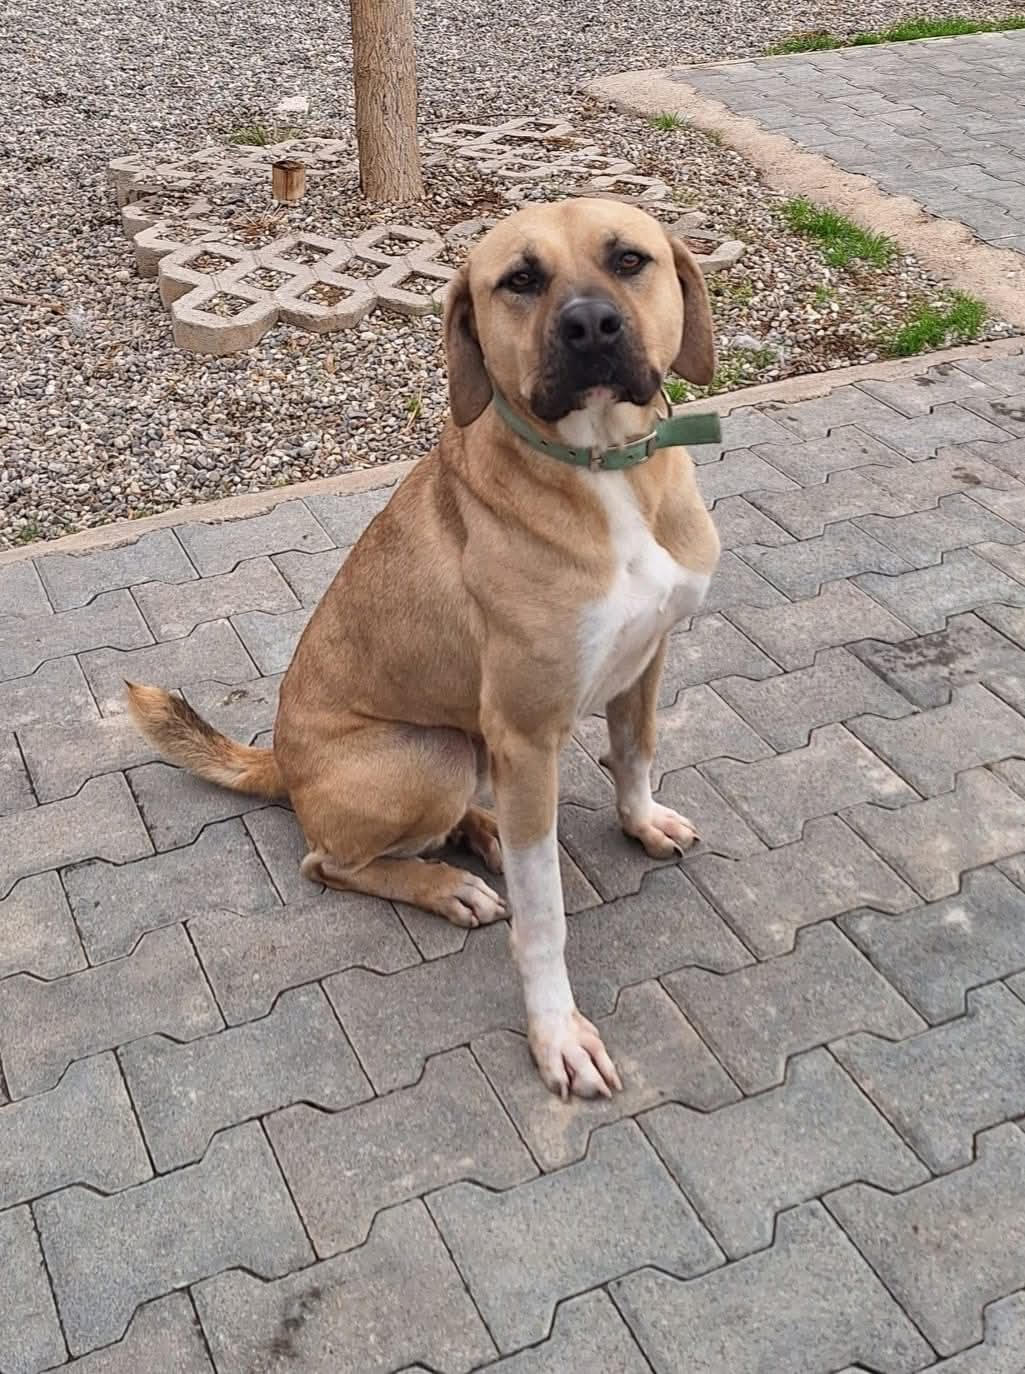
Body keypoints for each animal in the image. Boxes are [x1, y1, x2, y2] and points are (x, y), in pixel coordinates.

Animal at [127, 197, 720, 1100]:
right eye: (520, 279)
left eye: (629, 260)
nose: (590, 325)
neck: (602, 467)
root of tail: (283, 765)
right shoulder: (526, 733)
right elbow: (544, 916)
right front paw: (557, 1031)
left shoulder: (644, 660)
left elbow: (636, 752)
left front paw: (640, 819)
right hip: (432, 754)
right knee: (329, 863)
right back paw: (448, 886)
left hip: (471, 748)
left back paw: (480, 833)